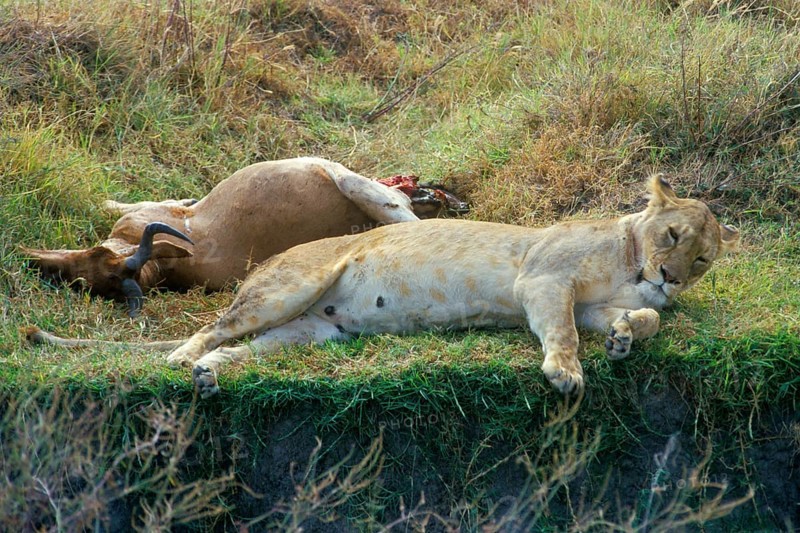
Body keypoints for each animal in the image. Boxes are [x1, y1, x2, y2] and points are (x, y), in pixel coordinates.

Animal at [25, 176, 739, 398]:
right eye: (672, 235)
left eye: (704, 258)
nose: (672, 278)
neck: (630, 262)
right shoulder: (543, 279)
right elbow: (561, 330)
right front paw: (567, 373)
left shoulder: (592, 299)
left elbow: (644, 321)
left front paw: (623, 338)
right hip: (289, 286)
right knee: (209, 327)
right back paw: (182, 361)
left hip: (313, 330)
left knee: (241, 346)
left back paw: (210, 375)